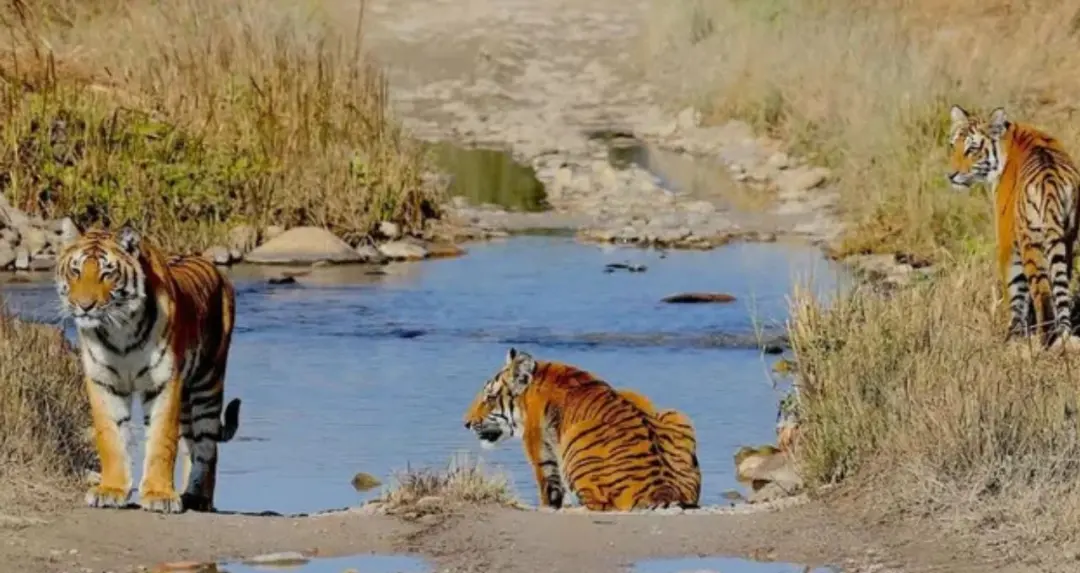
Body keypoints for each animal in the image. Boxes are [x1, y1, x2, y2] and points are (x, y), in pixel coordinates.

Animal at [55, 220, 242, 513]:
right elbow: (110, 438)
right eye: (75, 271)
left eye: (107, 273)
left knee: (207, 448)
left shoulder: (165, 382)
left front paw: (159, 495)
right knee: (191, 445)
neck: (118, 330)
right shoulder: (104, 382)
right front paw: (110, 491)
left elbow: (161, 440)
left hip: (208, 384)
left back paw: (199, 498)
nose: (84, 306)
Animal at [463, 348, 701, 512]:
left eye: (489, 398)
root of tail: (664, 492)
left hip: (573, 441)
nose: (465, 422)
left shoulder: (542, 452)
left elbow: (549, 491)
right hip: (674, 414)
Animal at [948, 105, 1080, 350]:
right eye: (953, 146)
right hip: (1065, 239)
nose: (950, 175)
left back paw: (1043, 341)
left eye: (972, 149)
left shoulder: (1007, 240)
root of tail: (1050, 182)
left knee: (1042, 294)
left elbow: (1015, 289)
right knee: (1060, 285)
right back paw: (1061, 336)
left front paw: (1013, 335)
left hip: (1031, 243)